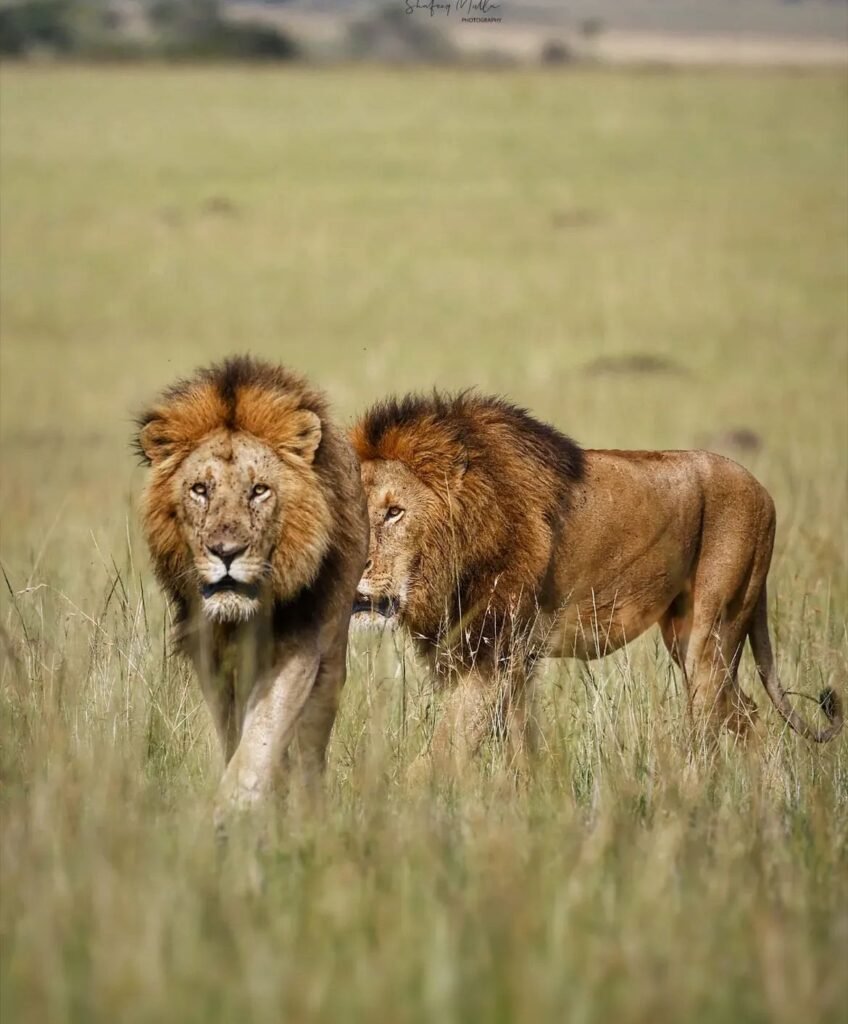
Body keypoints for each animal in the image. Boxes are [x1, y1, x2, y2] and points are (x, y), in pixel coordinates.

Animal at [136, 357, 367, 825]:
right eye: (200, 490)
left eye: (259, 490)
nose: (226, 552)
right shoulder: (209, 655)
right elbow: (235, 733)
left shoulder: (300, 644)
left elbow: (263, 733)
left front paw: (233, 810)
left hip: (332, 659)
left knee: (311, 743)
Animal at [351, 391, 842, 773]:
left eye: (394, 512)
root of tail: (761, 488)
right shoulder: (509, 659)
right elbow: (516, 745)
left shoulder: (493, 653)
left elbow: (441, 752)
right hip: (685, 635)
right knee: (745, 713)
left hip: (712, 632)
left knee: (710, 723)